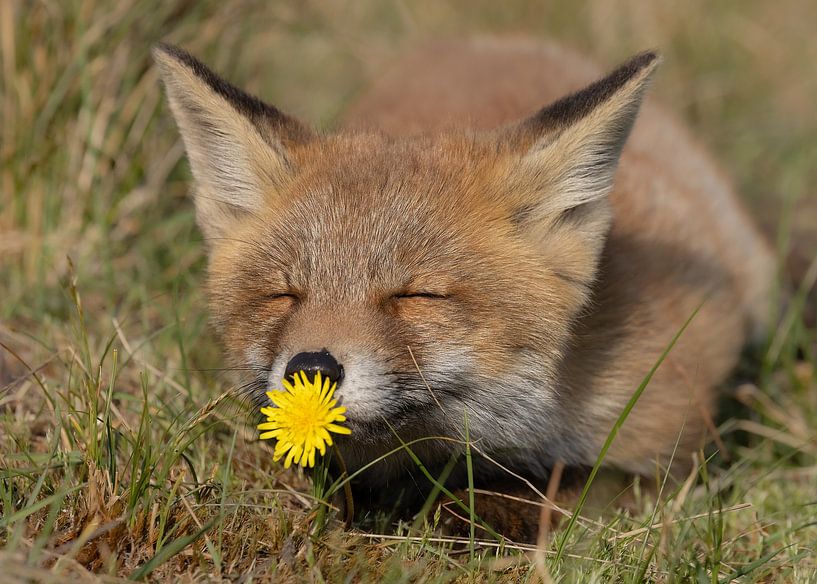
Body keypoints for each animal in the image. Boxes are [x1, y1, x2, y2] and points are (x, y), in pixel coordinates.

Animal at [153, 36, 772, 540]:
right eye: (285, 294)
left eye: (416, 295)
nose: (311, 370)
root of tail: (488, 41)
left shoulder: (671, 441)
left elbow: (578, 488)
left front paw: (471, 514)